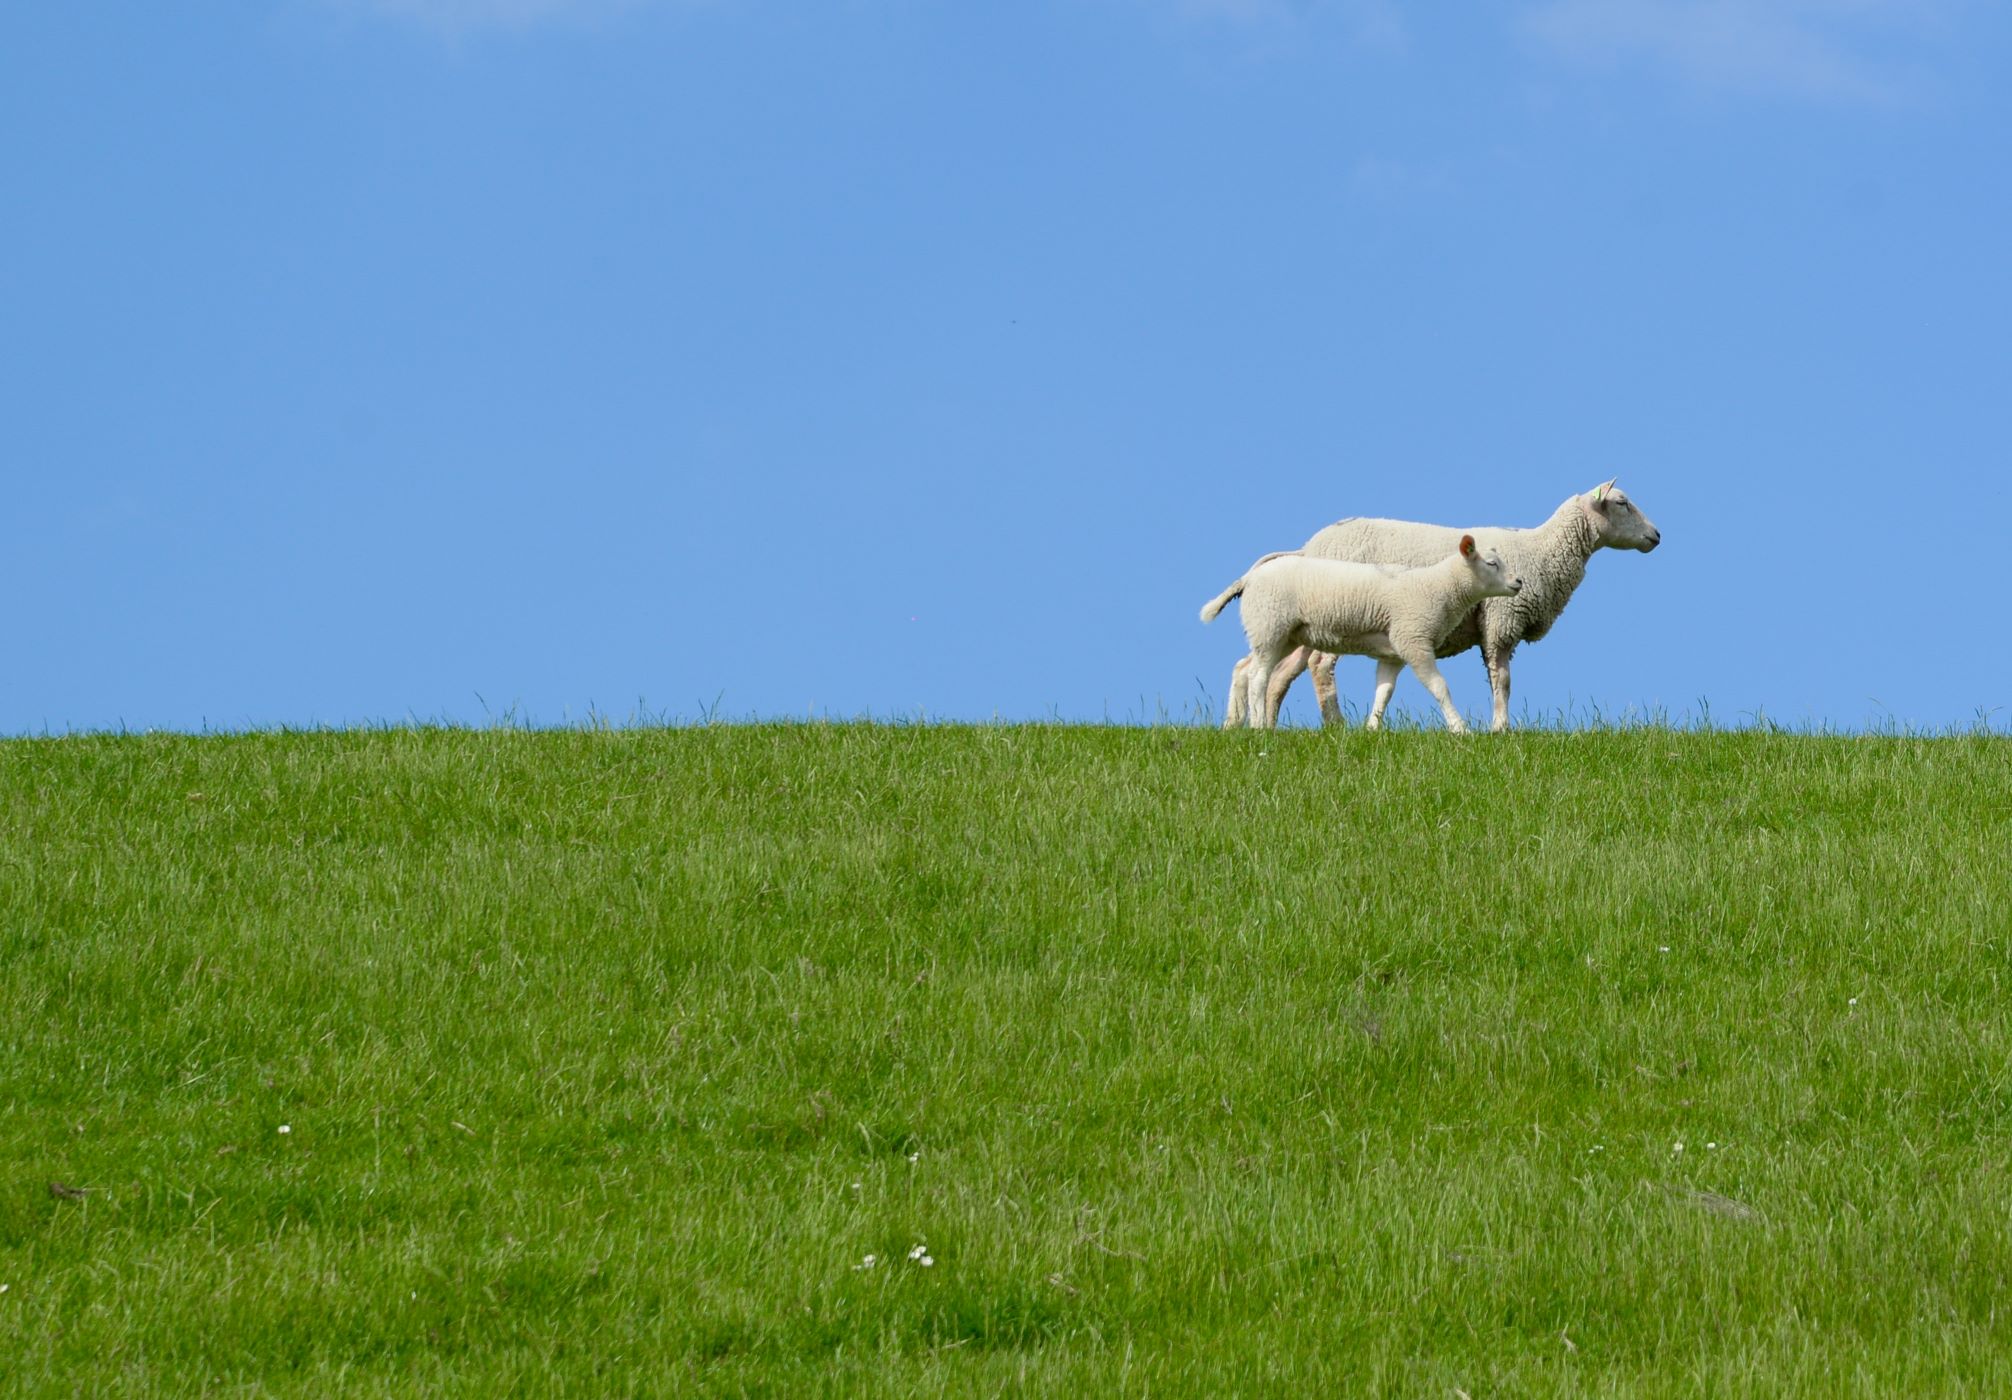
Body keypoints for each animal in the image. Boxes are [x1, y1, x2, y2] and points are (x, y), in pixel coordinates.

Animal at [1200, 535, 1524, 733]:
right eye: (1492, 564)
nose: (1519, 582)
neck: (1438, 587)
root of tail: (1249, 577)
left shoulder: (1394, 653)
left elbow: (1384, 692)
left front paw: (1372, 729)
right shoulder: (1414, 641)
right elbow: (1439, 687)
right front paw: (1460, 728)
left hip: (1282, 634)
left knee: (1244, 669)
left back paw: (1233, 724)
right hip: (1270, 625)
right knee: (1258, 676)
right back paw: (1258, 725)